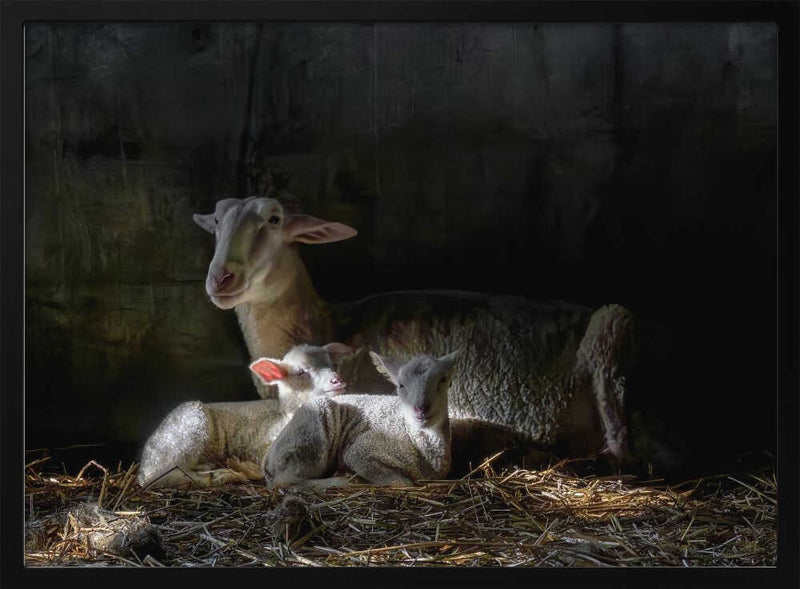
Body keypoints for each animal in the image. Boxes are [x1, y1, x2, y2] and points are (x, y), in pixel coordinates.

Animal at [136, 342, 352, 488]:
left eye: (331, 364)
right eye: (300, 372)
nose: (337, 380)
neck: (286, 416)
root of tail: (145, 461)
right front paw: (238, 469)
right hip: (186, 432)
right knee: (160, 477)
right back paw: (213, 476)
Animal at [265, 350, 458, 488]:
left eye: (443, 380)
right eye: (401, 385)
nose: (420, 409)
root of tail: (267, 458)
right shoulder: (362, 450)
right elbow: (402, 482)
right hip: (309, 436)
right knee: (286, 482)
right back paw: (341, 481)